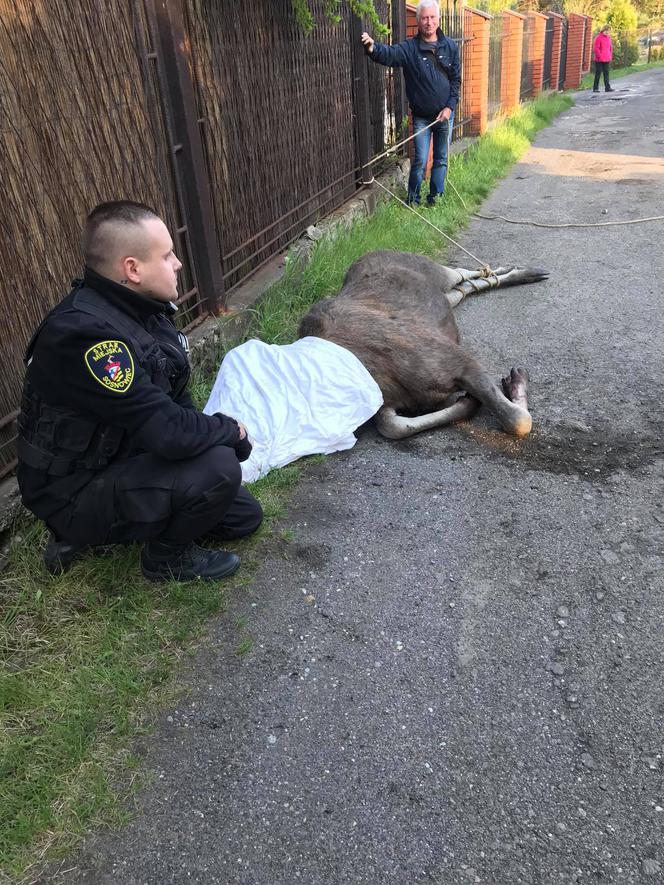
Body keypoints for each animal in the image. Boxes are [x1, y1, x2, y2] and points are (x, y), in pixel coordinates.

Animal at [298, 250, 548, 440]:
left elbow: (519, 420)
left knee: (463, 272)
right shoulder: (388, 406)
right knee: (463, 288)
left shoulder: (462, 362)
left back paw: (526, 272)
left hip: (438, 272)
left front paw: (515, 382)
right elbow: (395, 428)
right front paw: (469, 401)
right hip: (445, 297)